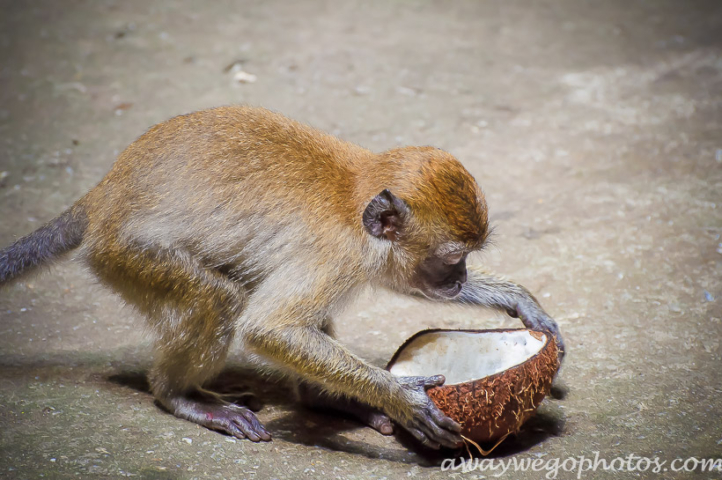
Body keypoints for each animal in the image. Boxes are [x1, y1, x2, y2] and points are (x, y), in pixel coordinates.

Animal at [0, 106, 564, 450]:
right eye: (451, 259)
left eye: (465, 261)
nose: (457, 280)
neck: (354, 200)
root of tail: (102, 195)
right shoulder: (333, 254)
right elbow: (268, 328)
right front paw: (400, 396)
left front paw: (518, 300)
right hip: (124, 255)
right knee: (218, 299)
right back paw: (177, 395)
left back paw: (327, 400)